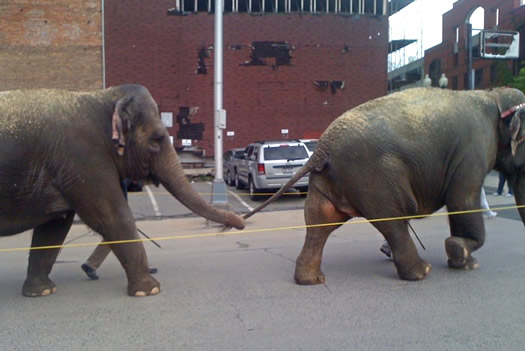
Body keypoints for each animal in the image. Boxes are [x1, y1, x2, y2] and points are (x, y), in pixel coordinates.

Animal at [0, 84, 246, 296]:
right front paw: (150, 290)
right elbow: (112, 216)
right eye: (157, 139)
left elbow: (54, 227)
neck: (101, 97)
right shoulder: (83, 159)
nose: (241, 223)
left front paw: (41, 291)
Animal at [244, 87, 524, 286]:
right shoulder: (472, 151)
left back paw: (310, 280)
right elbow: (462, 199)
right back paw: (422, 272)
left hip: (330, 181)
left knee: (319, 223)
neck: (495, 95)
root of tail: (324, 144)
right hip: (374, 177)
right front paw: (463, 257)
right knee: (393, 221)